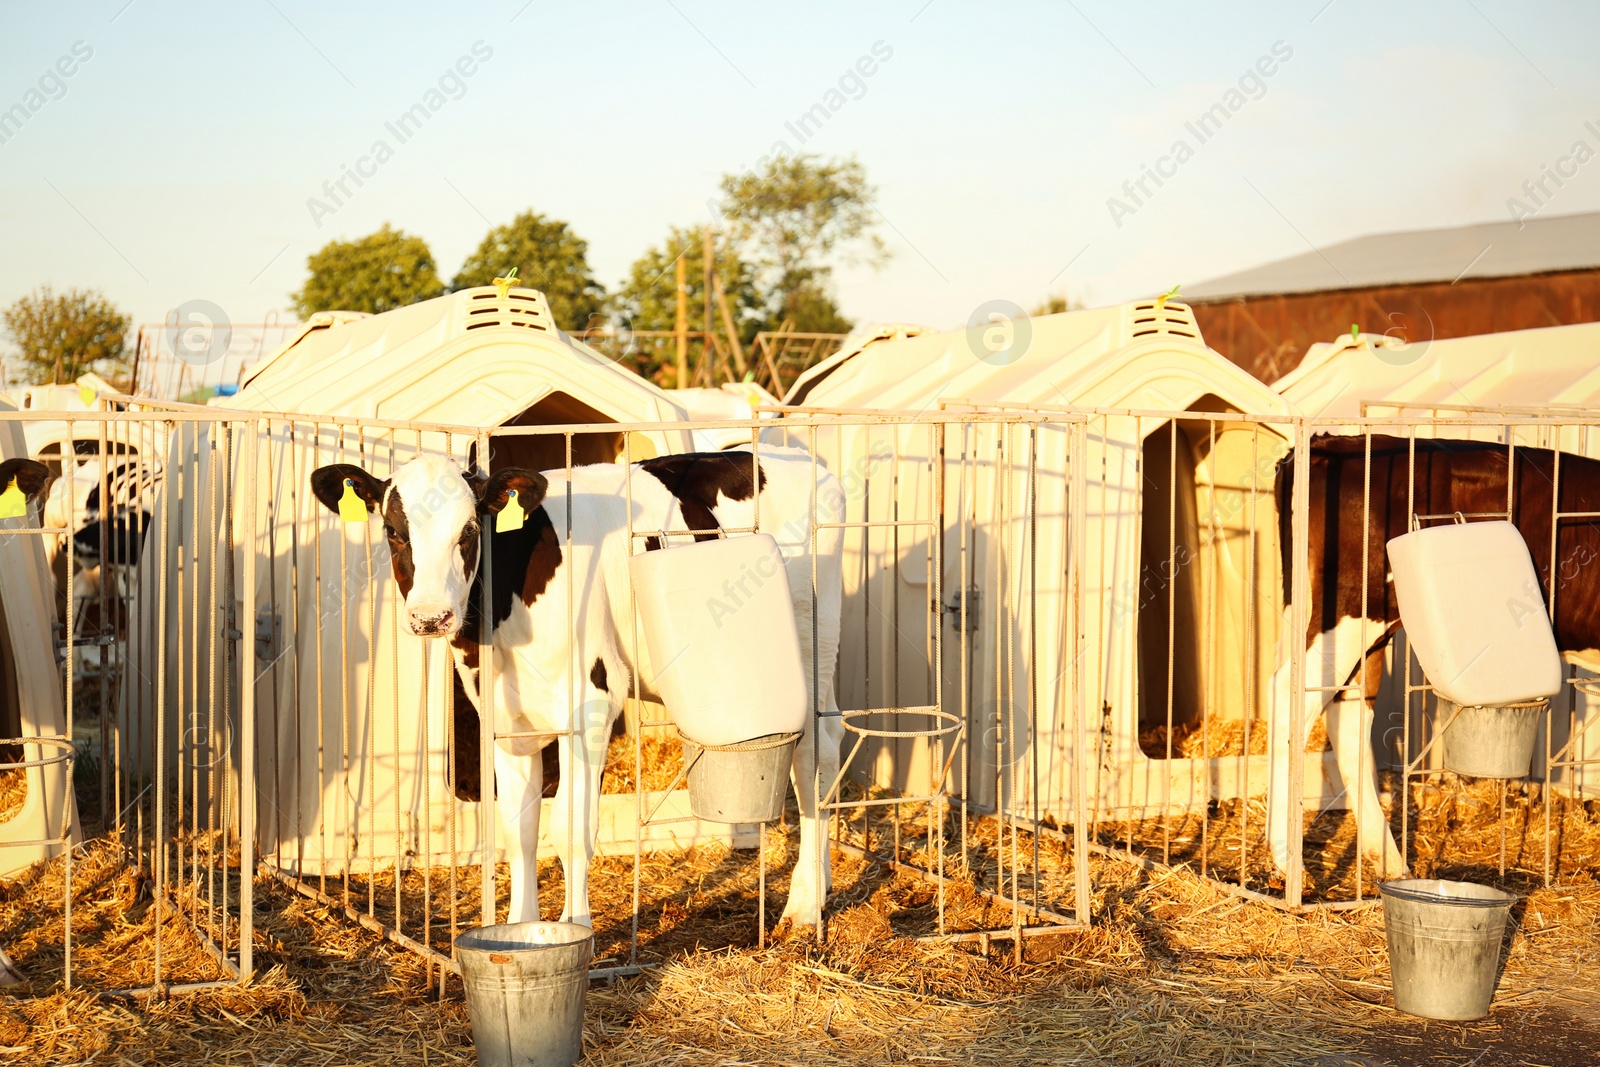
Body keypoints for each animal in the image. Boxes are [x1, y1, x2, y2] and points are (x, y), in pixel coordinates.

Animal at [304, 447, 844, 927]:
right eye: (393, 532)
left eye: (470, 531)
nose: (430, 617)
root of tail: (803, 460)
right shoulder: (505, 719)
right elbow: (519, 831)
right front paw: (521, 928)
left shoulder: (591, 705)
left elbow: (570, 827)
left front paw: (576, 926)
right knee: (833, 739)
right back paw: (821, 889)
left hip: (808, 649)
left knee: (811, 755)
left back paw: (801, 909)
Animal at [1260, 435, 1600, 876]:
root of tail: (1329, 443)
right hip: (1353, 603)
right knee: (1290, 695)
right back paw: (1288, 859)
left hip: (1363, 622)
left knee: (1347, 715)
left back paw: (1389, 862)